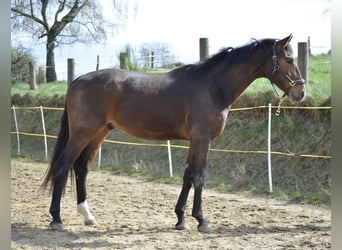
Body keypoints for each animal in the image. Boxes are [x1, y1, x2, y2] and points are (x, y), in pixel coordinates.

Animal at [42, 34, 304, 232]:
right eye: (289, 59)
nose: (300, 93)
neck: (212, 86)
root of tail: (77, 79)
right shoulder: (202, 139)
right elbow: (199, 177)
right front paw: (202, 221)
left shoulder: (194, 141)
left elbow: (187, 176)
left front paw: (181, 219)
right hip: (82, 133)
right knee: (63, 166)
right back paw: (57, 219)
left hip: (98, 134)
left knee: (81, 168)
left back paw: (88, 216)